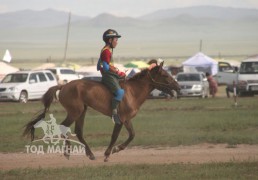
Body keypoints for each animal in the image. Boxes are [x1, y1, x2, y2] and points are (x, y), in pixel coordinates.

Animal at [23, 60, 180, 162]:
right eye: (165, 75)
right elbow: (114, 136)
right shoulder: (120, 120)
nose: (178, 87)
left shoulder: (127, 120)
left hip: (82, 112)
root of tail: (63, 86)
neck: (132, 92)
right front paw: (108, 153)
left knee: (78, 131)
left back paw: (90, 154)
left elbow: (132, 135)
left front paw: (117, 149)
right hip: (75, 112)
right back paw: (68, 153)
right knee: (64, 127)